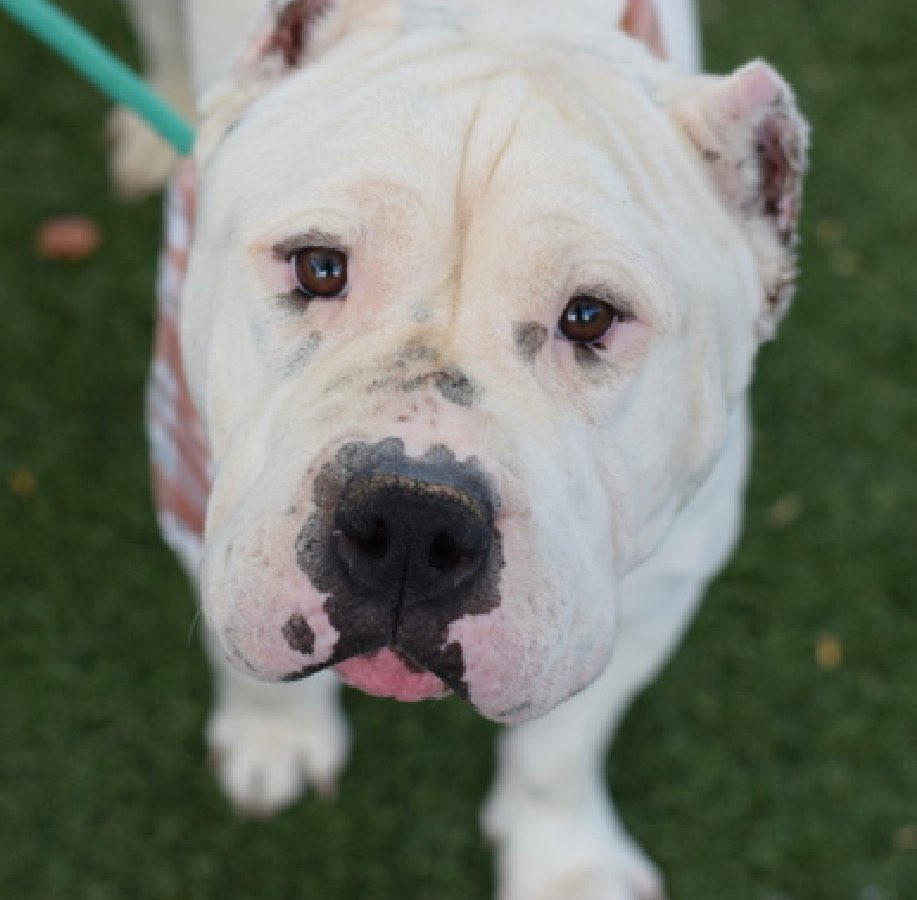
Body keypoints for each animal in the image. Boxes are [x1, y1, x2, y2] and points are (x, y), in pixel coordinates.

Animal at [114, 1, 808, 897]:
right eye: (318, 265)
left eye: (591, 317)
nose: (412, 521)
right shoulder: (199, 503)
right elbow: (243, 655)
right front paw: (276, 738)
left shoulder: (654, 587)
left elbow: (562, 750)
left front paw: (566, 865)